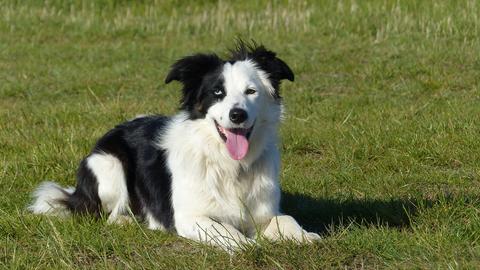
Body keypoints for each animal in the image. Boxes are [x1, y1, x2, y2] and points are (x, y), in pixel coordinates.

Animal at [31, 41, 322, 250]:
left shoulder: (262, 213)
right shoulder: (189, 217)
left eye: (251, 91)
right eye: (217, 92)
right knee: (109, 213)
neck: (229, 165)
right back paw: (129, 220)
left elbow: (286, 219)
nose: (237, 115)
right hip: (108, 165)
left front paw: (304, 236)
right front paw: (247, 245)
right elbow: (225, 229)